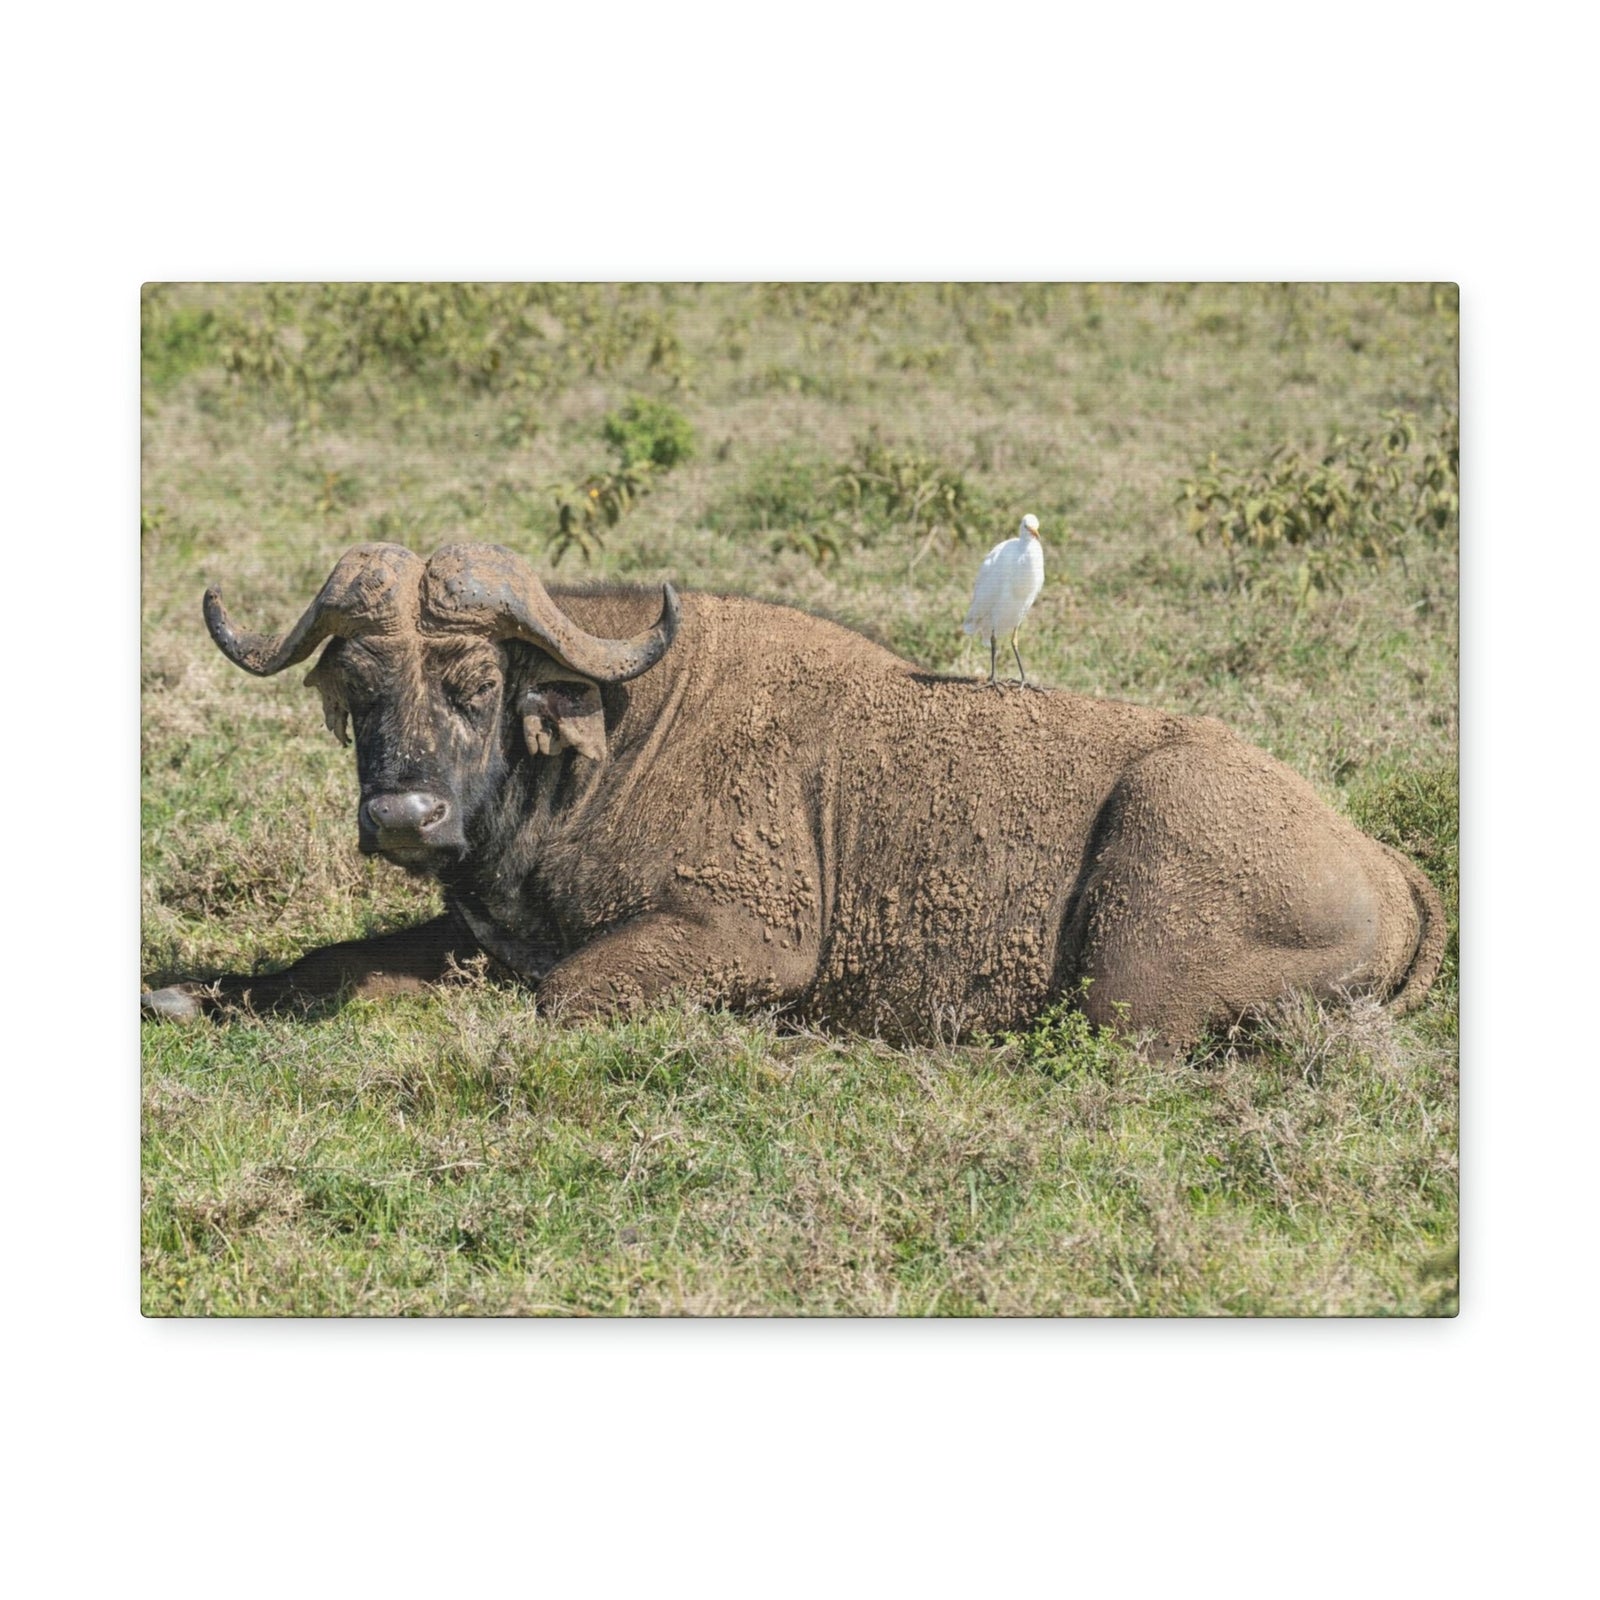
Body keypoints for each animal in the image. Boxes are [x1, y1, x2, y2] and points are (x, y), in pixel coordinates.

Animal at [142, 541, 1446, 1056]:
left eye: (472, 682)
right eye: (360, 687)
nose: (402, 820)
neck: (609, 743)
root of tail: (1384, 863)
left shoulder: (742, 938)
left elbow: (563, 998)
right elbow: (327, 963)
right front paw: (193, 994)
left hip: (1136, 944)